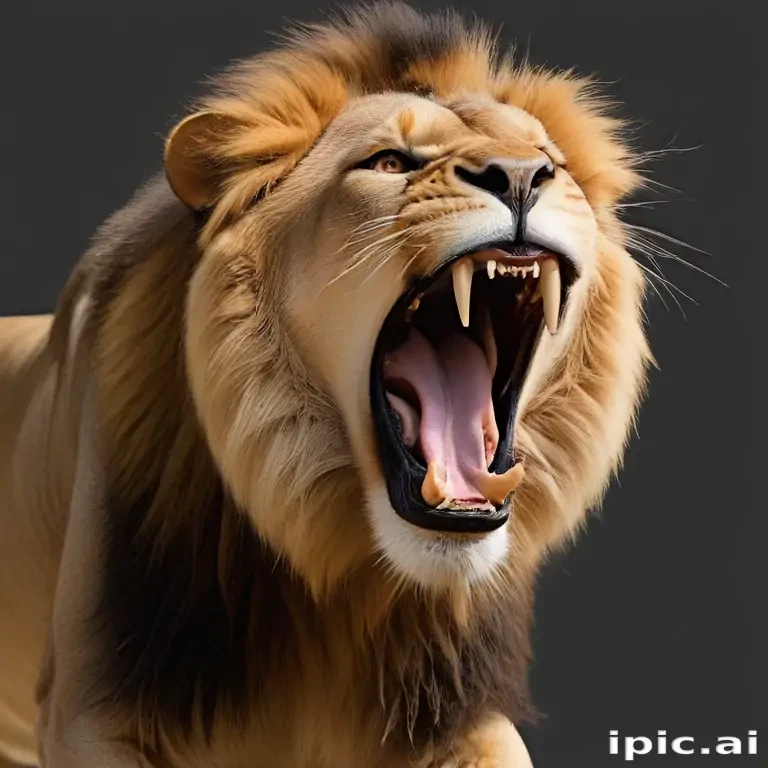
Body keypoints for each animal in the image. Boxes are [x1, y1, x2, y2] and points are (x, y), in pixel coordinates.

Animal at [0, 3, 653, 767]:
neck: (340, 574)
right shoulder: (90, 703)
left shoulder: (456, 710)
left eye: (553, 162)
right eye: (390, 162)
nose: (522, 175)